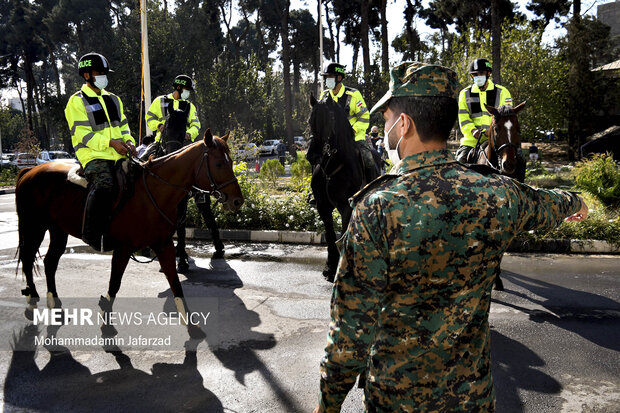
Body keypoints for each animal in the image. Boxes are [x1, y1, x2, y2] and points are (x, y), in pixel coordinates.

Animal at [14, 130, 242, 338]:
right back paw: (31, 300)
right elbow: (114, 284)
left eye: (231, 161)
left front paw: (191, 326)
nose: (237, 201)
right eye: (219, 164)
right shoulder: (123, 248)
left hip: (58, 230)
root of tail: (29, 170)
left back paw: (54, 303)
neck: (152, 192)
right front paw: (106, 323)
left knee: (50, 262)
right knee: (27, 258)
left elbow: (175, 283)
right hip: (34, 227)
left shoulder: (164, 245)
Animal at [308, 93, 378, 282]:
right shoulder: (323, 206)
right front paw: (330, 266)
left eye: (328, 119)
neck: (333, 164)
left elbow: (344, 233)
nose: (313, 155)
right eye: (310, 120)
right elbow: (331, 235)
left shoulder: (346, 206)